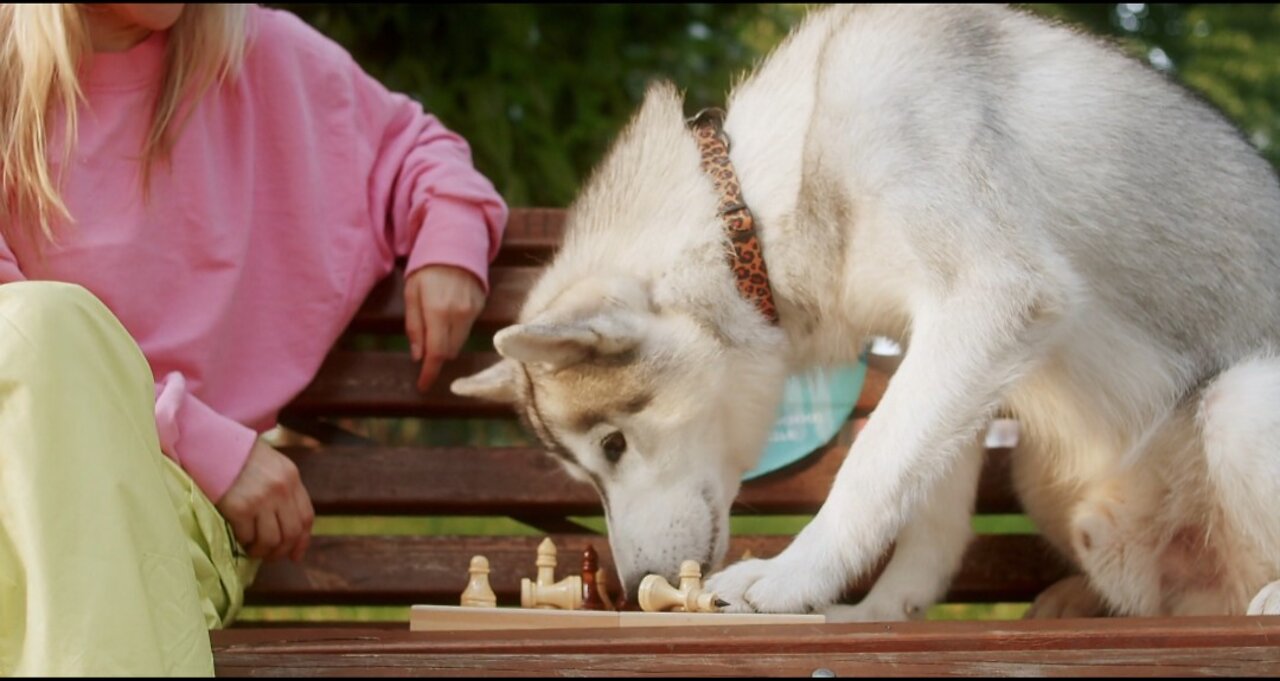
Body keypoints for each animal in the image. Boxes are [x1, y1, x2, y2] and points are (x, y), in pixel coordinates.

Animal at [455, 4, 1280, 622]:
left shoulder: (990, 300)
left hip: (1240, 402)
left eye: (613, 445)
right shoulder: (941, 347)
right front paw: (882, 609)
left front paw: (790, 578)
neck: (767, 198)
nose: (630, 589)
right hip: (1053, 482)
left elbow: (871, 467)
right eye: (586, 467)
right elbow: (926, 507)